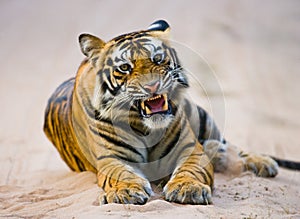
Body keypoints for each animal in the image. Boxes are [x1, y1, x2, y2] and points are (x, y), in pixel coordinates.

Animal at [43, 19, 298, 204]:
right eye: (125, 67)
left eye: (157, 59)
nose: (152, 86)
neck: (144, 127)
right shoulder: (111, 158)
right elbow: (121, 174)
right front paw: (126, 191)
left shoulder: (189, 149)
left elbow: (190, 169)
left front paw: (188, 189)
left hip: (201, 117)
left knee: (230, 144)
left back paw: (260, 162)